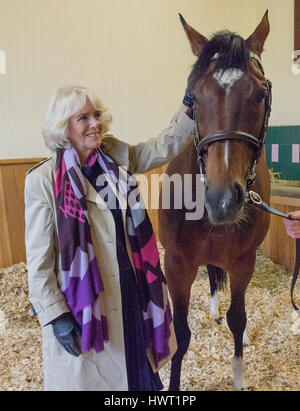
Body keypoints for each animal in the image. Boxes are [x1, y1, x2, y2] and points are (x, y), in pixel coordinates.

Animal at [158, 12, 274, 392]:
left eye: (260, 94)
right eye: (193, 98)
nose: (223, 200)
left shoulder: (243, 263)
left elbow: (238, 318)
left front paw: (238, 374)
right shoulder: (177, 265)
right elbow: (180, 334)